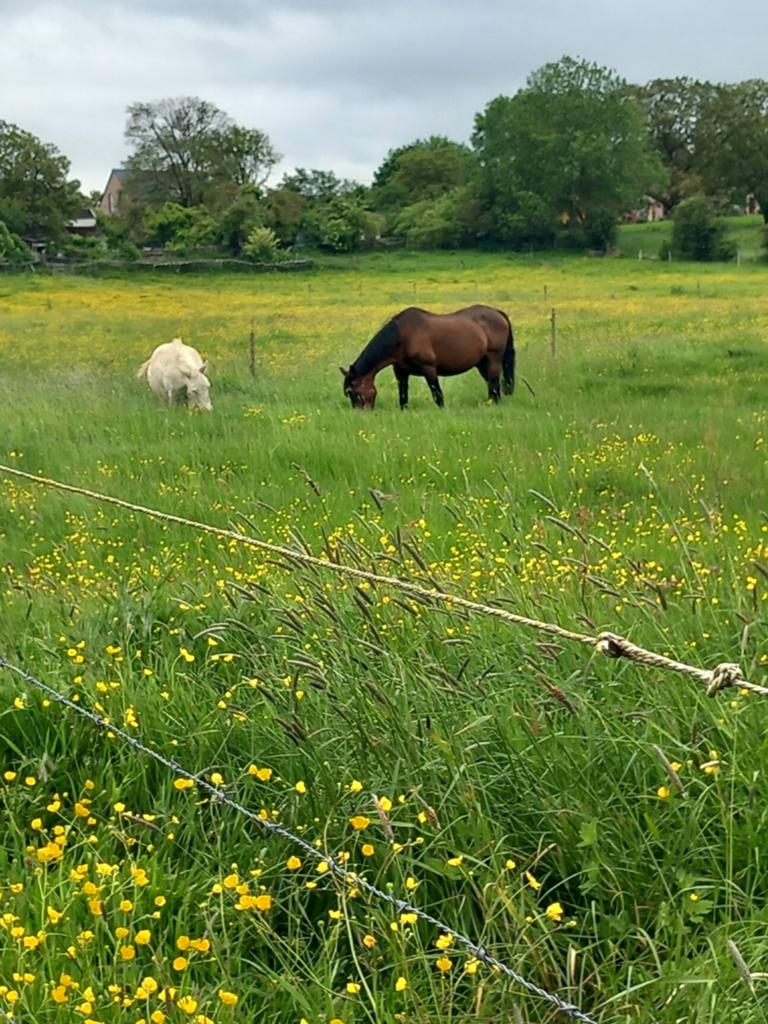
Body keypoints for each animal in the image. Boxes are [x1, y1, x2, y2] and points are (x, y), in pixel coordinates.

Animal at [340, 305, 515, 410]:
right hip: (481, 363)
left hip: (494, 359)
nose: (361, 413)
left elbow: (437, 394)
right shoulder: (400, 372)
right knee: (493, 384)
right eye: (348, 393)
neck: (404, 336)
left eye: (354, 392)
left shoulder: (429, 369)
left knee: (494, 383)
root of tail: (498, 313)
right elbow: (403, 396)